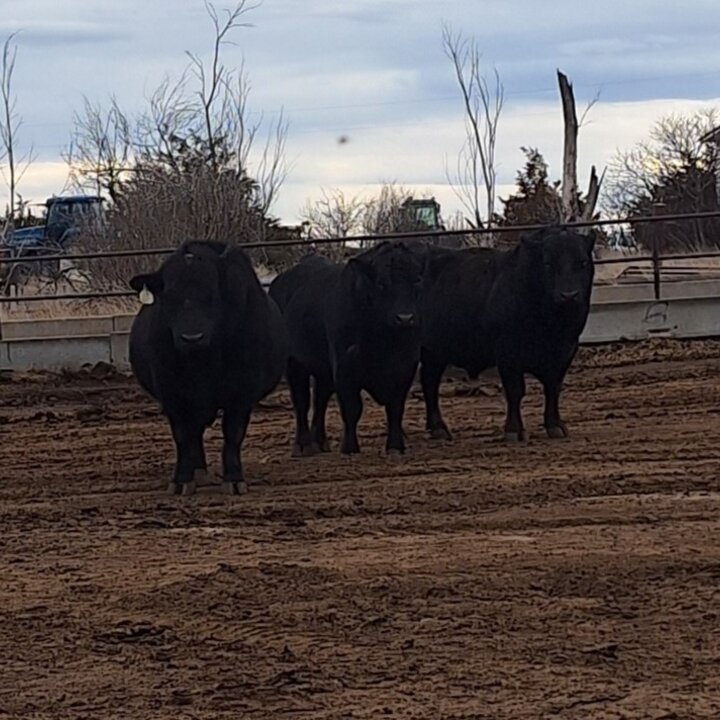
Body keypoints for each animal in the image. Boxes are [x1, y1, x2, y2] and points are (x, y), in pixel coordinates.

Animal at [128, 240, 288, 496]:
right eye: (169, 295)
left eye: (211, 293)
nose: (192, 338)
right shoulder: (172, 394)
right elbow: (183, 436)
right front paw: (181, 480)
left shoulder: (241, 393)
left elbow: (233, 434)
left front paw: (234, 479)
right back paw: (198, 471)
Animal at [269, 241, 425, 456]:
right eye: (381, 283)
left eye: (417, 280)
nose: (405, 318)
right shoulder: (344, 365)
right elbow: (352, 408)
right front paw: (350, 448)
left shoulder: (406, 366)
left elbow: (396, 407)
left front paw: (395, 446)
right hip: (294, 364)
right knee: (301, 401)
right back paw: (303, 445)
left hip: (324, 371)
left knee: (320, 400)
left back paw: (320, 442)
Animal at [420, 226, 596, 442]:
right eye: (547, 263)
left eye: (583, 262)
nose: (569, 295)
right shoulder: (508, 353)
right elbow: (515, 391)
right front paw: (514, 429)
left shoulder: (565, 351)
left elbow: (553, 388)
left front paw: (555, 425)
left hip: (434, 353)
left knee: (429, 381)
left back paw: (437, 428)